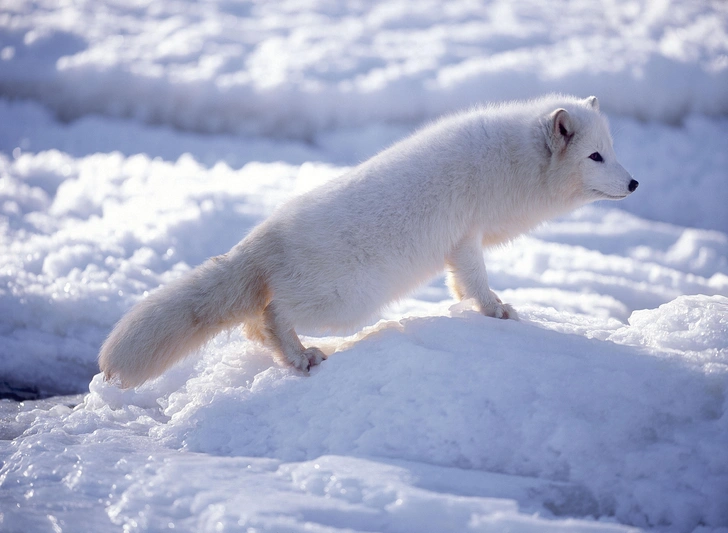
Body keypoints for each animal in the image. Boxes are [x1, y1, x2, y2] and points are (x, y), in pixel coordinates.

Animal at [98, 94, 636, 386]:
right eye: (594, 157)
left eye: (612, 151)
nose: (633, 183)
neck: (511, 162)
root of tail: (264, 236)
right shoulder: (465, 235)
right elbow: (477, 281)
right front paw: (497, 310)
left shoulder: (462, 242)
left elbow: (460, 282)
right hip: (345, 301)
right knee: (272, 314)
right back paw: (302, 357)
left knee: (253, 323)